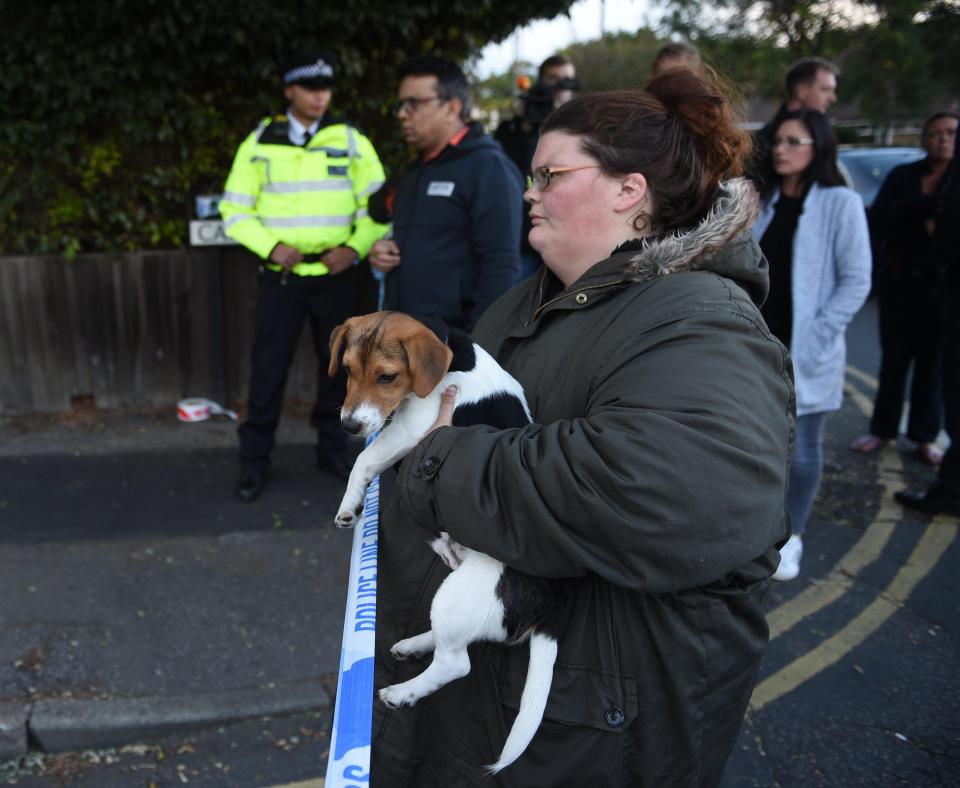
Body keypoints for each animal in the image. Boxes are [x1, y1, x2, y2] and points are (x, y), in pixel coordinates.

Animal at [328, 310, 564, 772]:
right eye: (346, 370)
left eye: (387, 377)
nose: (348, 425)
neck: (452, 357)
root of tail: (547, 601)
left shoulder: (409, 434)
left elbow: (363, 460)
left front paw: (349, 505)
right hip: (456, 593)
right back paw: (413, 645)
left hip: (460, 595)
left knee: (456, 664)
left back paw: (402, 693)